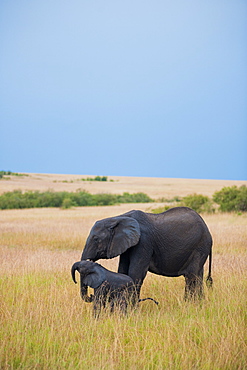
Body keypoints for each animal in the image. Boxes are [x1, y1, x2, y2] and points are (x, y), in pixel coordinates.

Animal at [79, 207, 212, 302]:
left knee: (192, 276)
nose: (91, 297)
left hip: (200, 246)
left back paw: (191, 304)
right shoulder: (128, 244)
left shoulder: (144, 241)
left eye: (96, 239)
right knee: (198, 275)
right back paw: (198, 303)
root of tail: (207, 228)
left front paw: (133, 311)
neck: (118, 218)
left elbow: (136, 273)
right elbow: (123, 271)